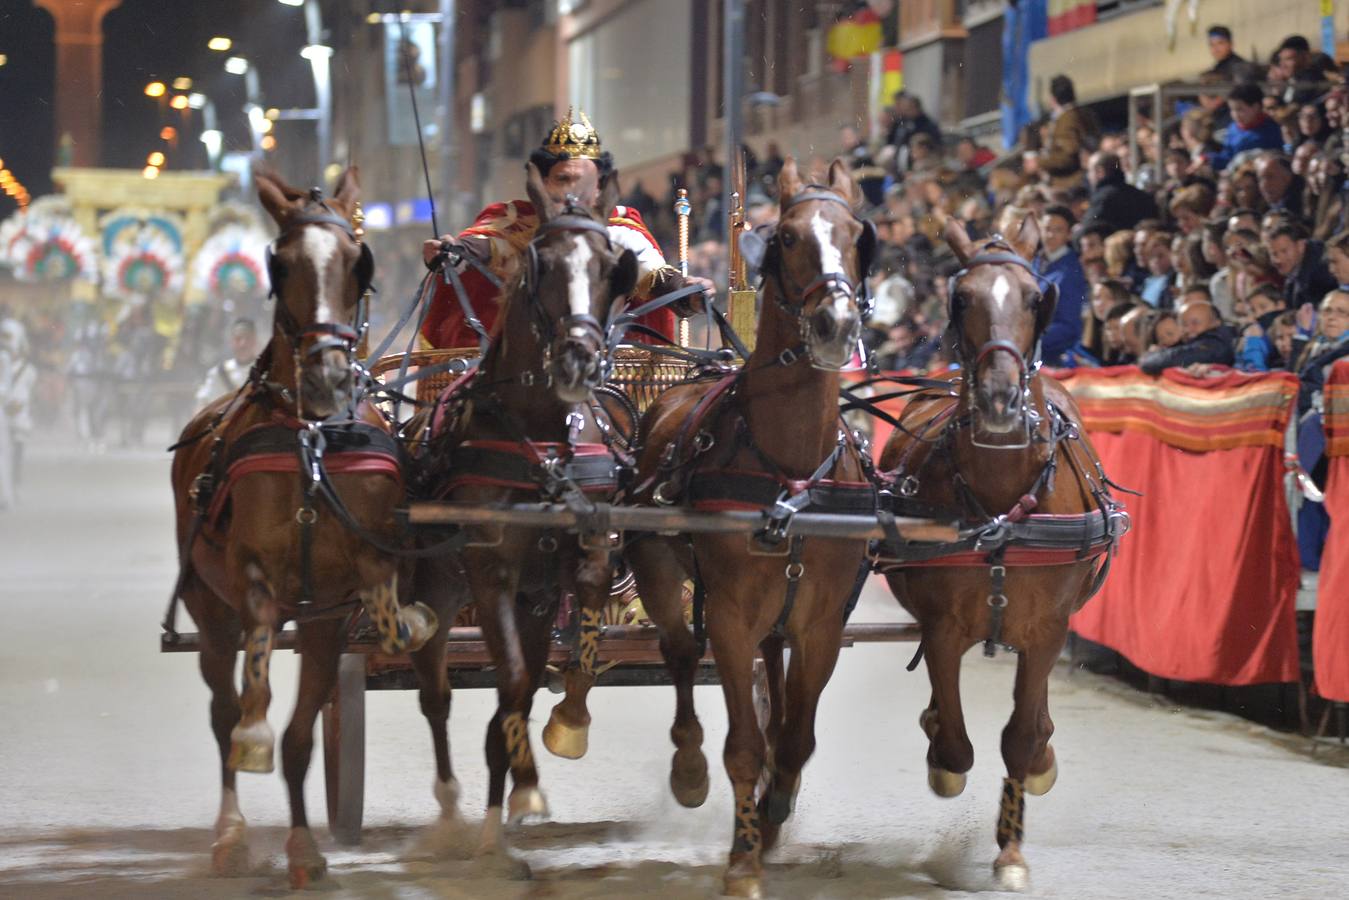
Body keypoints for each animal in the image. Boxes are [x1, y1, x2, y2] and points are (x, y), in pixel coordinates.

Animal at [165, 168, 434, 885]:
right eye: (279, 264)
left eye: (358, 261)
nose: (326, 375)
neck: (311, 437)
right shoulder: (255, 577)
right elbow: (255, 684)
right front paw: (255, 741)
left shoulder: (334, 605)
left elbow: (304, 732)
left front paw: (305, 848)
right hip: (206, 607)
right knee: (221, 707)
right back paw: (229, 832)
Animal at [407, 161, 639, 858]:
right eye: (541, 264)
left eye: (612, 267)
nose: (579, 358)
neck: (539, 435)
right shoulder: (493, 571)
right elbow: (509, 679)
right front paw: (522, 789)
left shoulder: (560, 572)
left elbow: (547, 664)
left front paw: (564, 725)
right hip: (438, 584)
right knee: (435, 691)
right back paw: (454, 808)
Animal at [598, 158, 874, 895]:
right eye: (785, 237)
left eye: (855, 236)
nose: (835, 325)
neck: (790, 472)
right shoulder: (726, 614)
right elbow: (743, 744)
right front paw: (742, 857)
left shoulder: (821, 620)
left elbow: (796, 737)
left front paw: (775, 813)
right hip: (660, 570)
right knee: (677, 655)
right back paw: (689, 770)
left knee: (771, 678)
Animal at [868, 214, 1122, 890]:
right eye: (961, 298)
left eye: (1036, 299)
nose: (1002, 400)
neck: (1003, 502)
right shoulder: (943, 627)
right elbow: (957, 743)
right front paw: (943, 758)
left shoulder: (1047, 631)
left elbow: (1020, 738)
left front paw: (1010, 850)